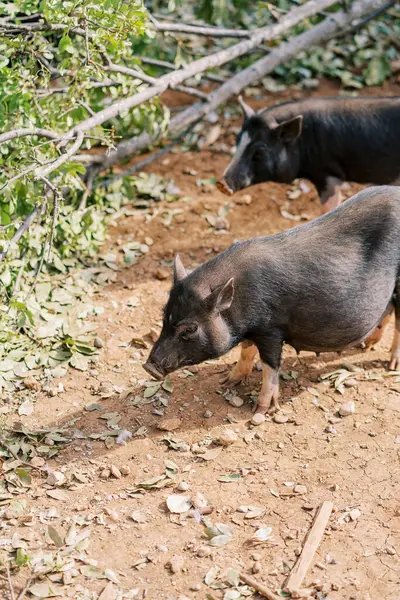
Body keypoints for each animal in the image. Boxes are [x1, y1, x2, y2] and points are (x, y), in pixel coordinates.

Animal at [144, 186, 400, 412]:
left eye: (190, 329)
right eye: (164, 316)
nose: (148, 366)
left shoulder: (271, 329)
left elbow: (270, 366)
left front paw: (261, 409)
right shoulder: (253, 329)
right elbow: (246, 350)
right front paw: (227, 381)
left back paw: (390, 366)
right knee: (387, 311)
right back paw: (368, 345)